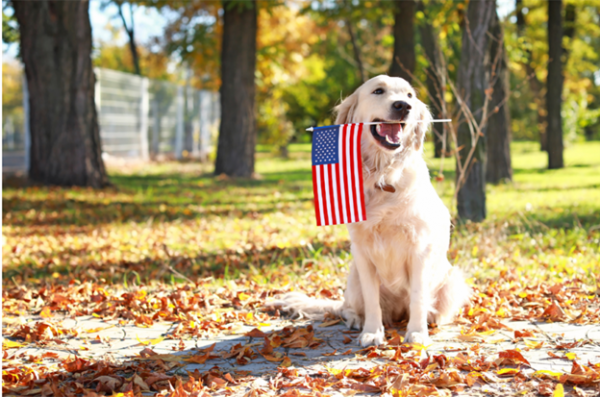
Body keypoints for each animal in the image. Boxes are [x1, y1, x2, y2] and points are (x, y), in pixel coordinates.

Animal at [274, 76, 474, 344]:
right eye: (378, 91)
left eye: (410, 96)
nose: (403, 106)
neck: (383, 175)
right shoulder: (362, 251)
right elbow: (372, 301)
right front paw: (372, 332)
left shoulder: (420, 250)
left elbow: (418, 297)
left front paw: (417, 333)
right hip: (354, 277)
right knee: (346, 308)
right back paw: (357, 320)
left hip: (453, 279)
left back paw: (431, 320)